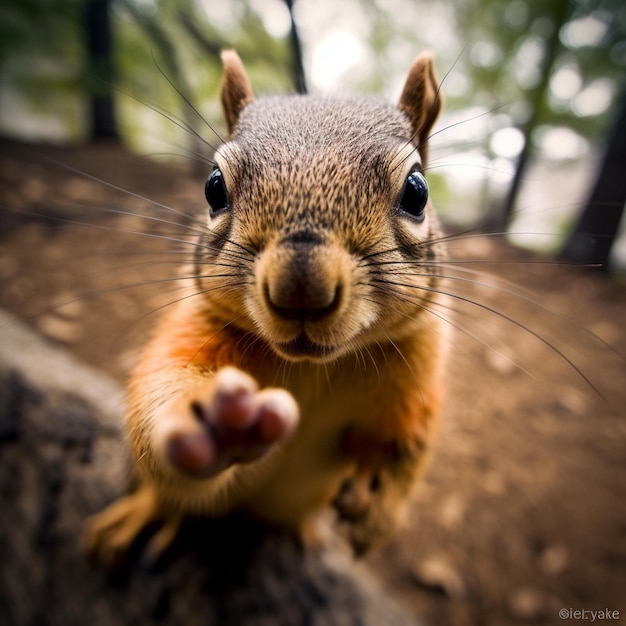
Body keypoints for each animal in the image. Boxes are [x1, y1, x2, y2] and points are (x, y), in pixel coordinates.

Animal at [84, 47, 444, 556]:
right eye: (213, 186)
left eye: (417, 192)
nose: (301, 288)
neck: (315, 368)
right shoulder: (193, 324)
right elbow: (157, 395)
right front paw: (215, 417)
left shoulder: (415, 369)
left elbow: (404, 446)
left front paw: (377, 507)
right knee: (163, 494)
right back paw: (141, 517)